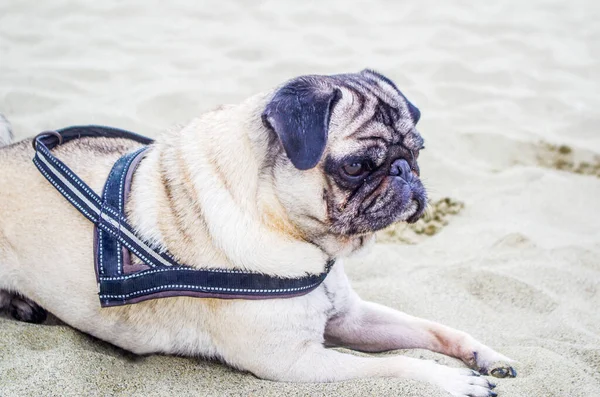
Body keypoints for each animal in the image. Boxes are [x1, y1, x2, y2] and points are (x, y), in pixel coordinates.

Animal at [1, 71, 516, 396]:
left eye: (418, 149)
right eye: (355, 167)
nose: (405, 171)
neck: (296, 234)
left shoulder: (349, 318)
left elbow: (433, 329)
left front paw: (481, 354)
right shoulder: (294, 361)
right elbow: (397, 365)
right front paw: (452, 381)